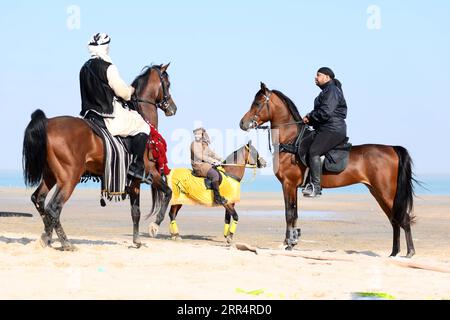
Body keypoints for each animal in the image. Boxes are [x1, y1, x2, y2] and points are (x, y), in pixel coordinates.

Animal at [22, 63, 176, 251]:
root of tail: (47, 123)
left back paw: (46, 237)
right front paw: (154, 225)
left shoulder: (134, 183)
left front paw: (137, 241)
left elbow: (136, 212)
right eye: (167, 84)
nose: (173, 108)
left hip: (51, 175)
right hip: (69, 178)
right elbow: (168, 192)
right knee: (53, 207)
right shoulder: (150, 173)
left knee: (39, 200)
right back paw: (65, 242)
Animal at [241, 82, 416, 258]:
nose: (242, 123)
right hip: (378, 193)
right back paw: (394, 252)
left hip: (386, 193)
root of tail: (392, 148)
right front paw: (291, 242)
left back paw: (409, 252)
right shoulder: (292, 186)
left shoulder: (288, 184)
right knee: (394, 220)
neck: (292, 141)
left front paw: (289, 244)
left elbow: (289, 213)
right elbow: (294, 213)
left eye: (257, 103)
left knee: (403, 218)